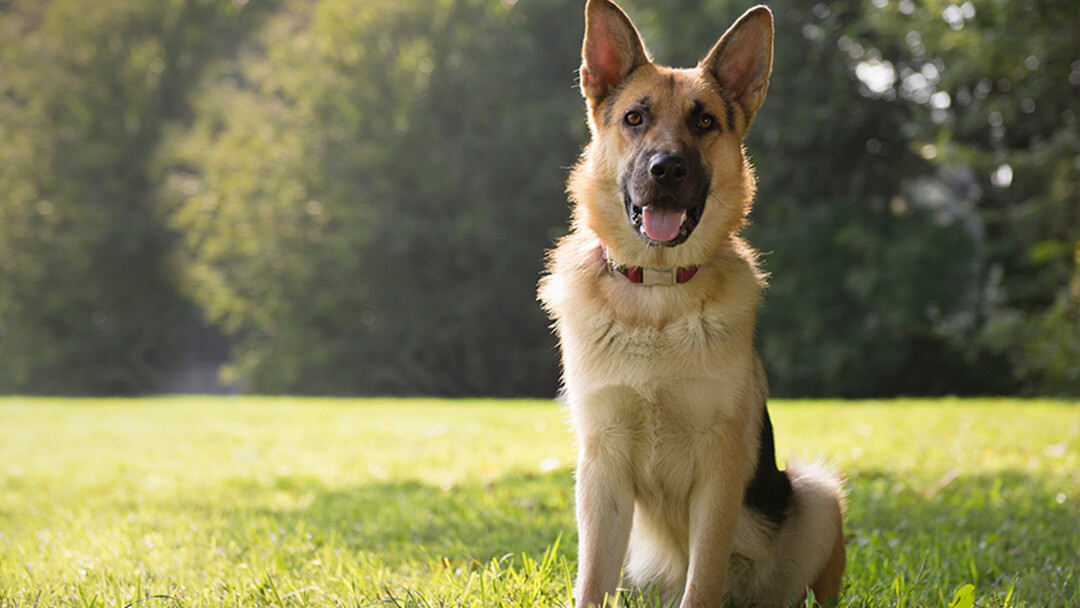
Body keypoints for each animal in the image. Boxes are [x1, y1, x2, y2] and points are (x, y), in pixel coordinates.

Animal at [535, 2, 846, 604]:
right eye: (635, 118)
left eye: (704, 123)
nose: (667, 170)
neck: (657, 294)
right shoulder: (602, 468)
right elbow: (592, 579)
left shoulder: (719, 468)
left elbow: (702, 578)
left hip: (817, 495)